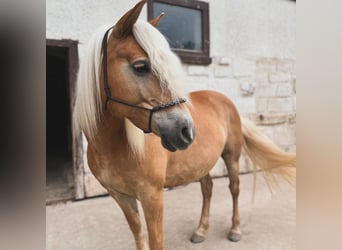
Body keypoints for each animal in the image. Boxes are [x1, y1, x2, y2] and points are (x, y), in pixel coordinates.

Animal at [73, 0, 296, 249]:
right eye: (140, 66)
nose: (186, 131)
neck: (116, 147)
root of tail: (224, 100)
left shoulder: (152, 196)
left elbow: (156, 240)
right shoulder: (121, 197)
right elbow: (138, 233)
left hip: (232, 156)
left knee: (234, 189)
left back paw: (235, 229)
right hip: (200, 163)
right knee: (207, 189)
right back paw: (201, 230)